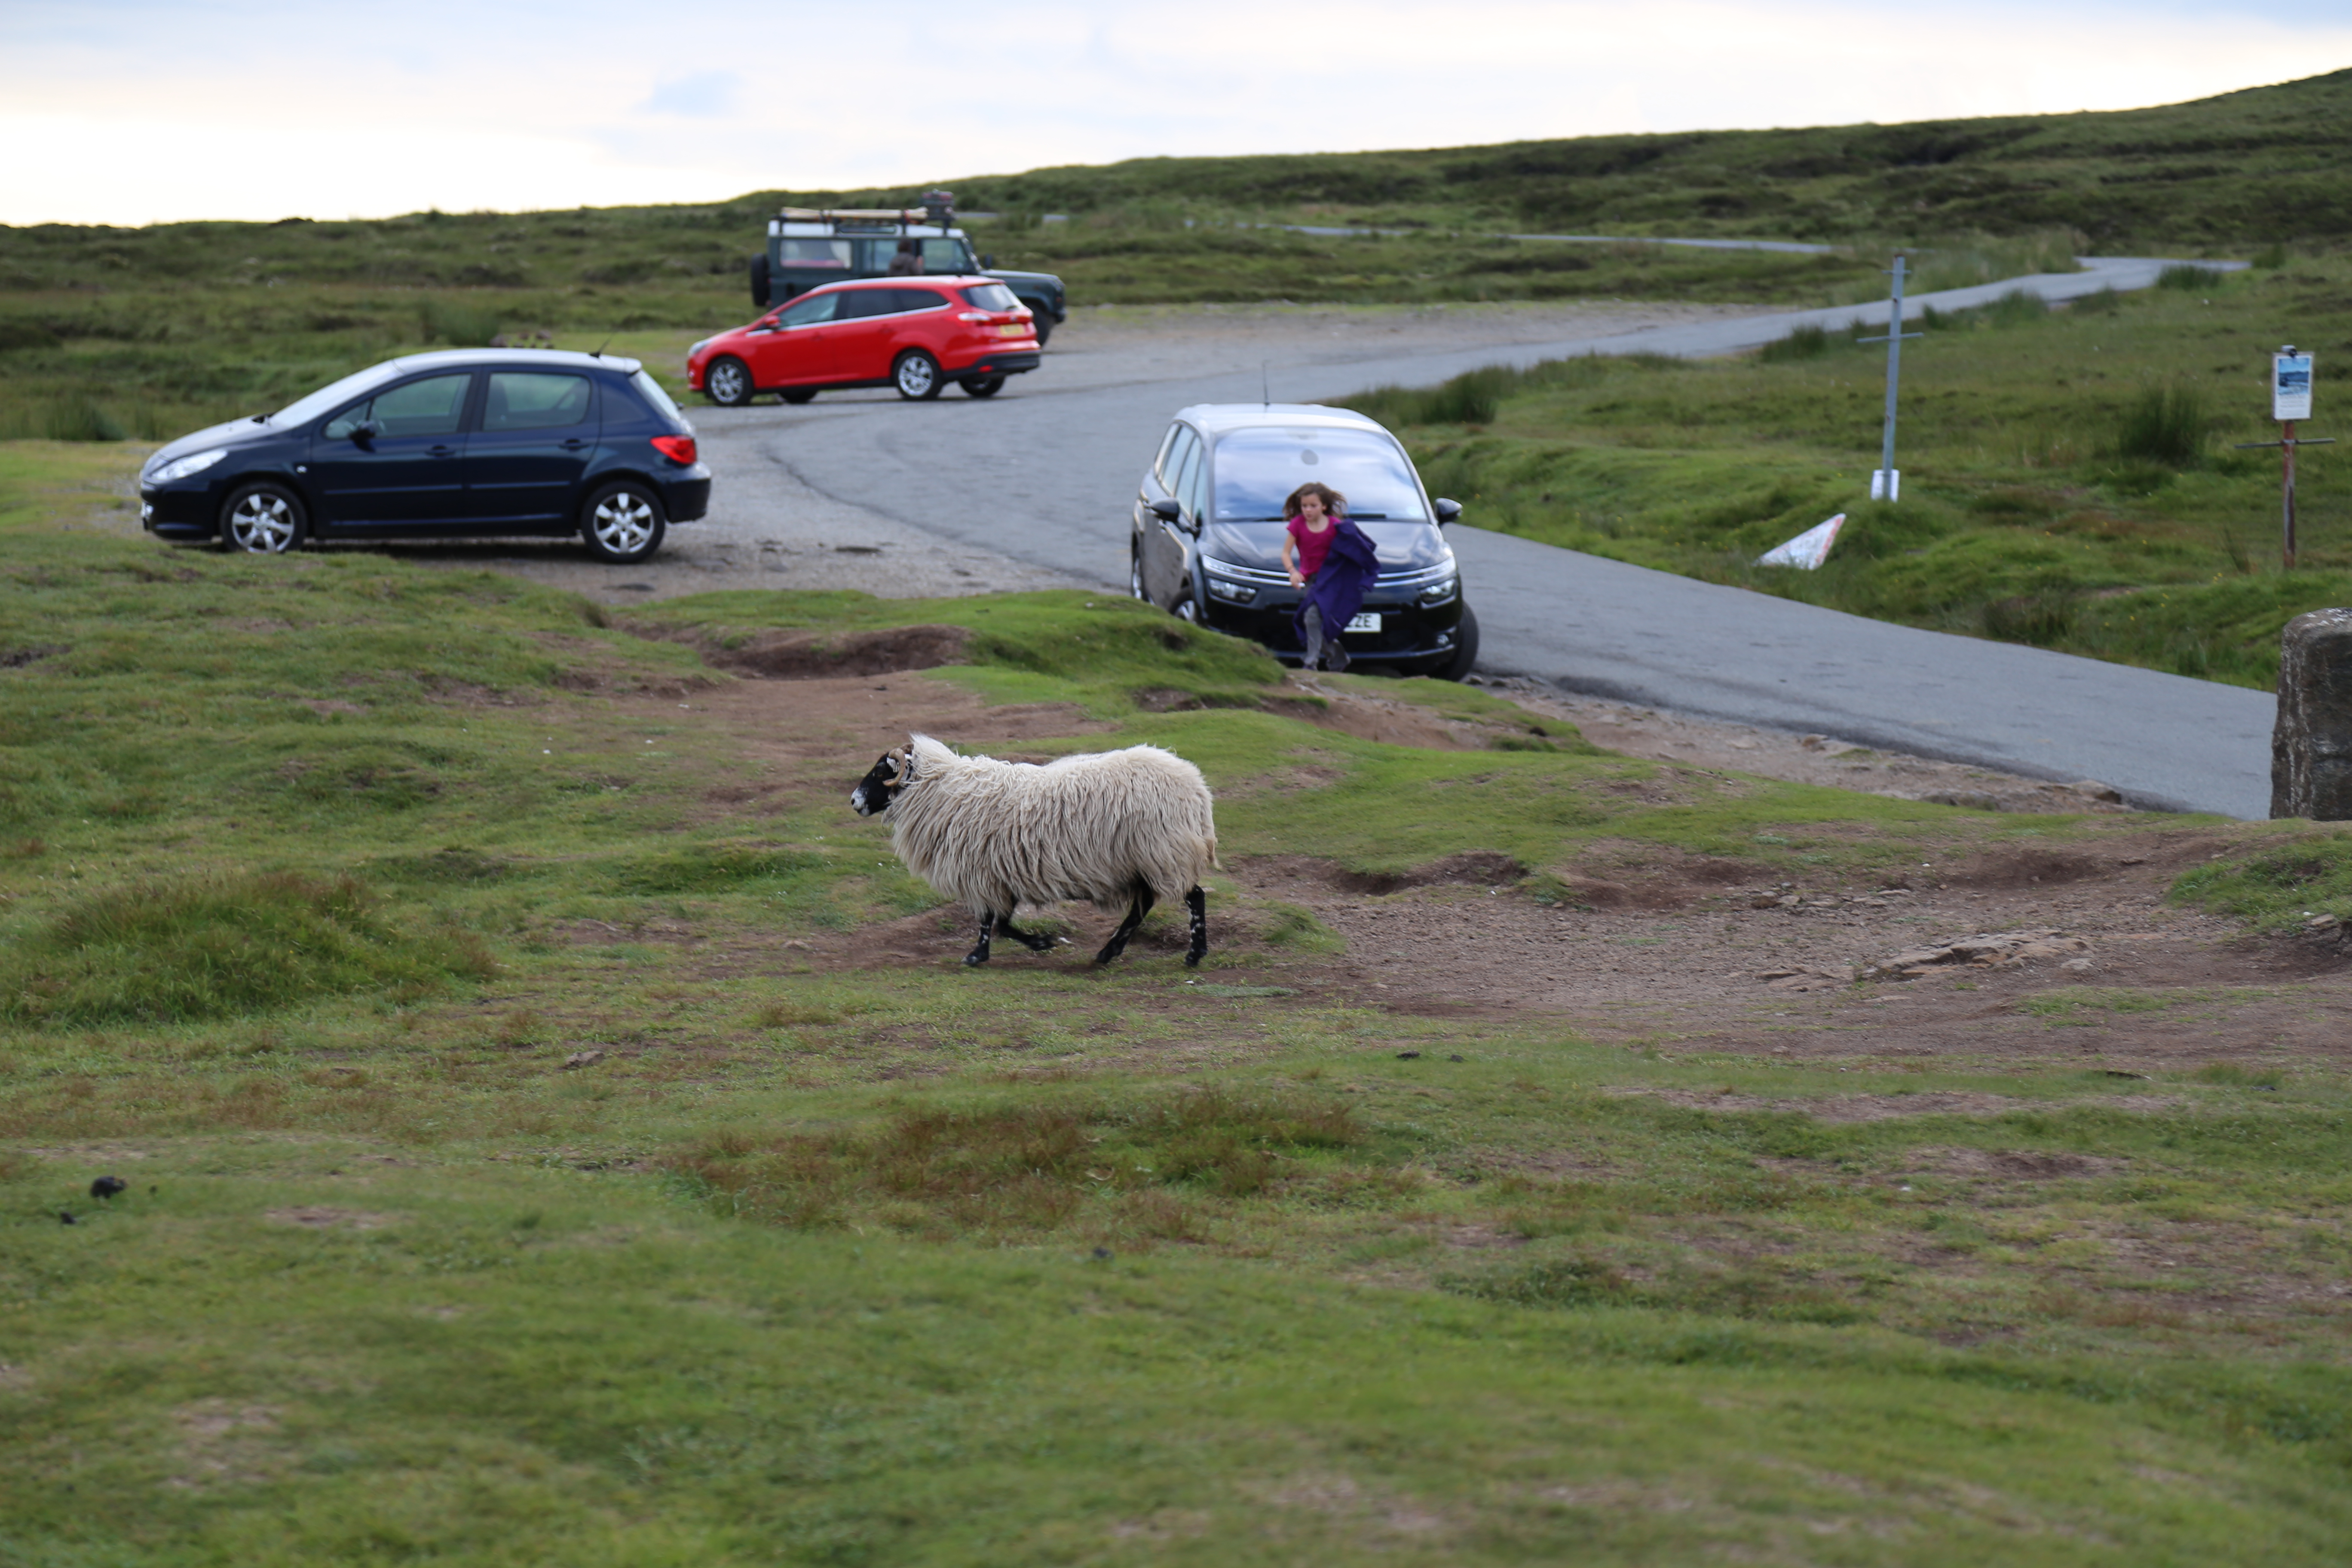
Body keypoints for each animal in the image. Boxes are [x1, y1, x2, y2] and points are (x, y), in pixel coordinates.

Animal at [851, 738, 1223, 968]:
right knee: (1142, 908)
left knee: (1193, 897)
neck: (941, 791)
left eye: (882, 771)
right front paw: (1039, 943)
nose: (854, 801)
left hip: (1162, 854)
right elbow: (1002, 924)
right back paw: (1110, 951)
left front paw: (979, 955)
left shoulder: (985, 873)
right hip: (1146, 861)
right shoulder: (1003, 873)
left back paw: (1194, 954)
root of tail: (1197, 789)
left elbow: (991, 922)